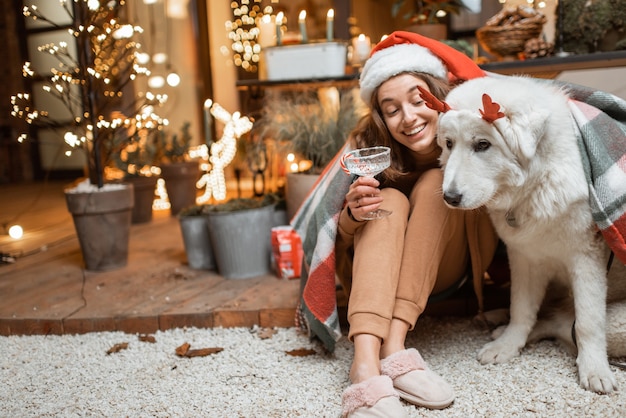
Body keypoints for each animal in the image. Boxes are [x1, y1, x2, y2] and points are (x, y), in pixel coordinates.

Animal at [420, 76, 620, 394]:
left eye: (483, 144)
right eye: (449, 143)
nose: (450, 197)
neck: (535, 186)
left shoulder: (586, 257)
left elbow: (588, 320)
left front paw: (595, 369)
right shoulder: (524, 258)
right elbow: (521, 308)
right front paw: (508, 345)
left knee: (564, 323)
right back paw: (495, 320)